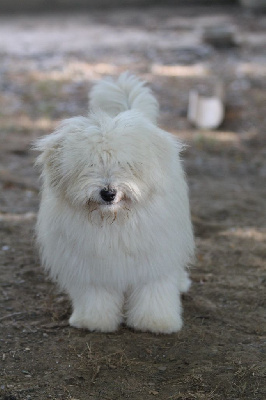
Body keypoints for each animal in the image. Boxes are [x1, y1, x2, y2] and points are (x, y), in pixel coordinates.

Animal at [34, 72, 193, 334]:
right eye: (89, 164)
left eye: (125, 164)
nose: (108, 193)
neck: (112, 221)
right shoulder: (92, 268)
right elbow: (96, 296)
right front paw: (94, 321)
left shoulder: (154, 261)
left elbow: (154, 292)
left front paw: (155, 322)